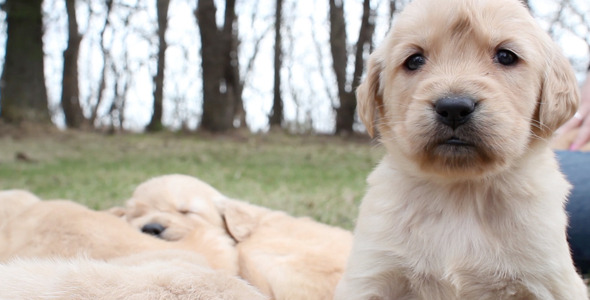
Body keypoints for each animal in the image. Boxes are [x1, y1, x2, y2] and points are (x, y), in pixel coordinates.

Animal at [336, 0, 588, 298]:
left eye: (506, 56)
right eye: (414, 60)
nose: (454, 108)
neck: (461, 193)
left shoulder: (548, 280)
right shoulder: (371, 274)